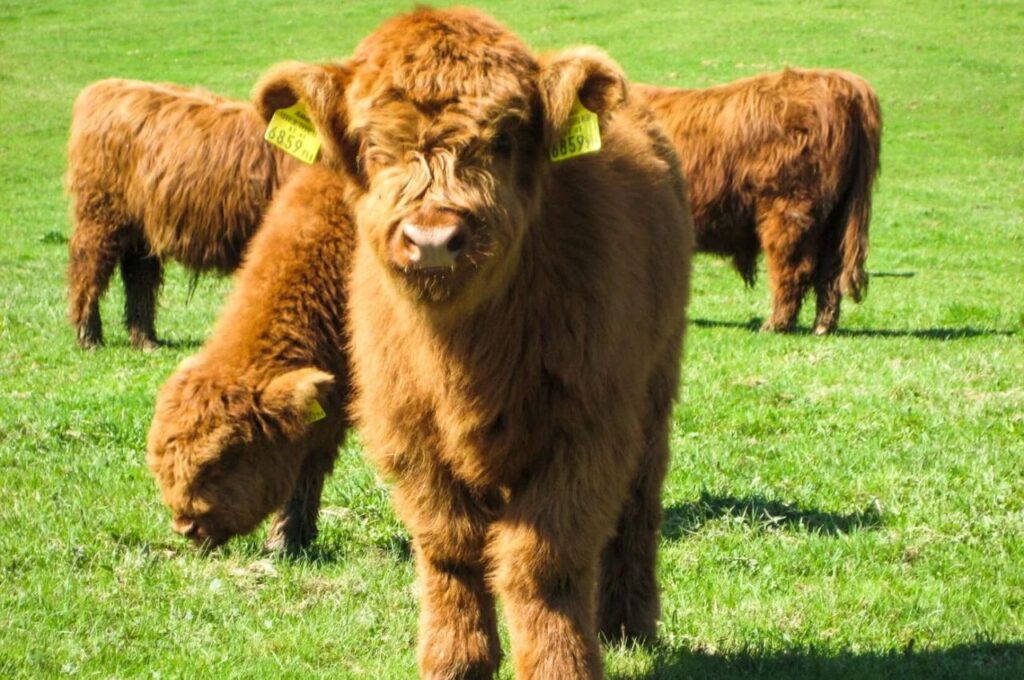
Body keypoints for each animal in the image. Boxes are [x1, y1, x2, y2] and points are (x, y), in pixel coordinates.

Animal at [66, 79, 300, 349]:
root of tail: (105, 86)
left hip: (140, 227)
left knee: (139, 276)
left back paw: (146, 340)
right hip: (100, 215)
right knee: (88, 266)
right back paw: (89, 337)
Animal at [252, 7, 693, 678]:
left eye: (504, 140)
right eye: (373, 145)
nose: (433, 238)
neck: (464, 356)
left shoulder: (586, 430)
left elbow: (543, 560)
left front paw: (560, 663)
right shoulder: (409, 435)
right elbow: (450, 547)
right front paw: (455, 660)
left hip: (654, 385)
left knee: (640, 503)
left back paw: (626, 625)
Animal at [639, 68, 881, 333]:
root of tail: (840, 81)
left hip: (789, 208)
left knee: (794, 268)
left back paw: (775, 324)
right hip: (837, 218)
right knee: (830, 272)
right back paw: (822, 326)